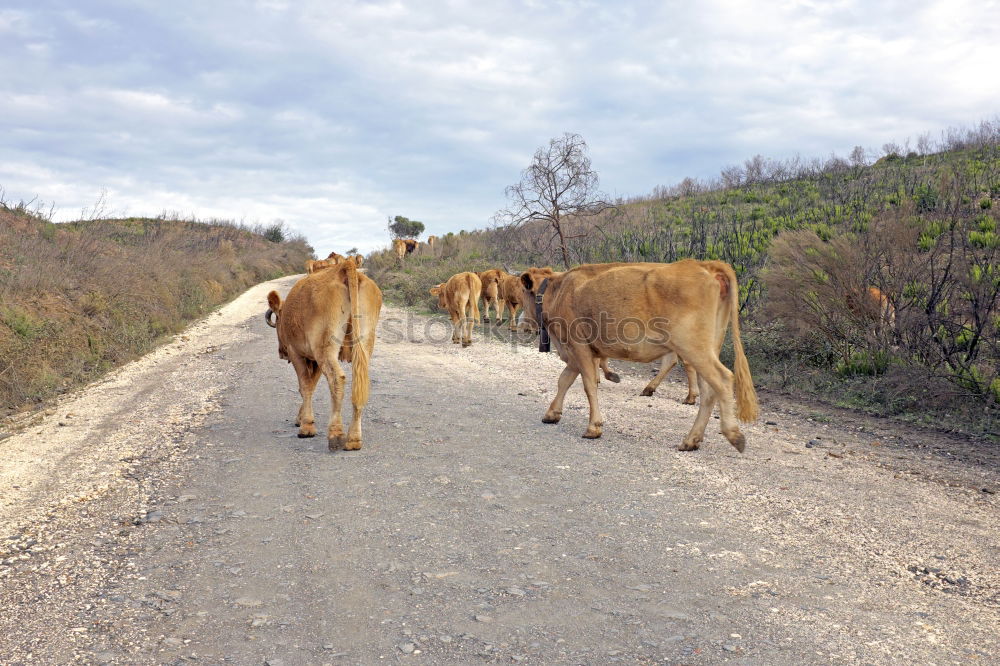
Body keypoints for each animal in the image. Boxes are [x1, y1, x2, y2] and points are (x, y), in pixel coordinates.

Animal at [264, 256, 380, 448]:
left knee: (337, 379)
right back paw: (353, 438)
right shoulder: (314, 358)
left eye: (278, 319)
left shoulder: (297, 353)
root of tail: (344, 266)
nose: (281, 351)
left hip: (325, 347)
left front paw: (306, 426)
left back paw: (336, 434)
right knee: (360, 381)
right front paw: (301, 417)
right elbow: (311, 384)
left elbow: (305, 385)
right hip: (363, 342)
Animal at [524, 260, 756, 452]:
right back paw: (691, 440)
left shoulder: (578, 346)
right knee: (708, 390)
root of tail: (705, 265)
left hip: (693, 347)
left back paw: (733, 435)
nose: (524, 324)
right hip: (707, 347)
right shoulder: (576, 353)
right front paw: (552, 414)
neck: (558, 290)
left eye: (522, 294)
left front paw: (593, 427)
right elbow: (564, 380)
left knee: (722, 378)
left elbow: (588, 385)